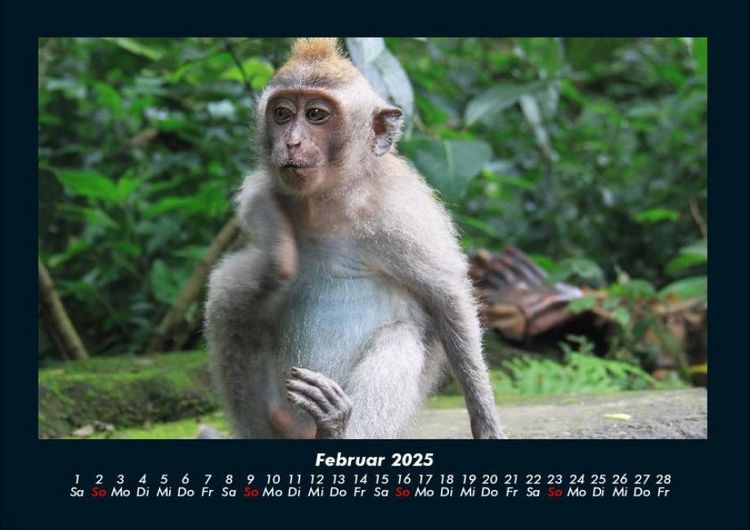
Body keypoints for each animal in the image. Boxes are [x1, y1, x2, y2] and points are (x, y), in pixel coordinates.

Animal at [204, 38, 505, 439]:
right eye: (282, 114)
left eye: (316, 115)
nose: (292, 142)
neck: (330, 201)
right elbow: (257, 220)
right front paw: (278, 253)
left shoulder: (402, 213)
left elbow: (448, 300)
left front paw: (486, 423)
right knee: (229, 298)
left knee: (401, 336)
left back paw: (334, 427)